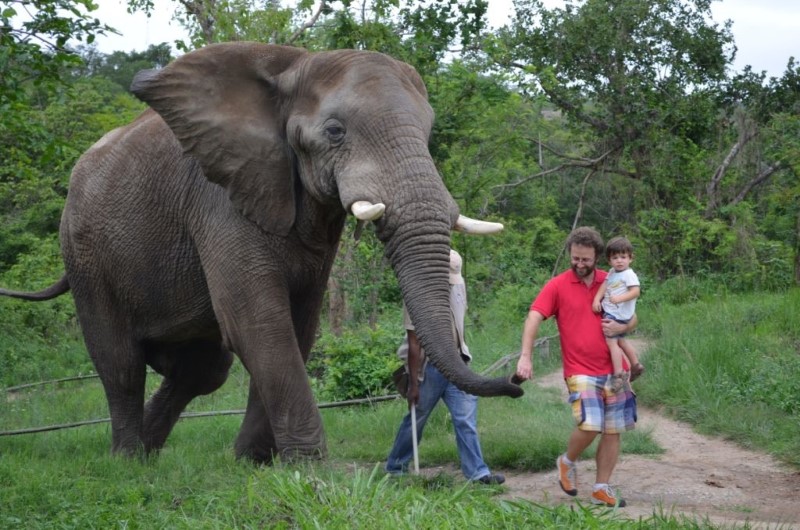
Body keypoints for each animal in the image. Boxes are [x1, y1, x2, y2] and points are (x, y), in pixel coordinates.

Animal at [0, 43, 520, 460]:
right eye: (335, 132)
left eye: (429, 134)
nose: (516, 382)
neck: (293, 67)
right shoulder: (219, 199)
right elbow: (259, 322)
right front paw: (306, 464)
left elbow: (298, 326)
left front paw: (252, 461)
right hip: (86, 255)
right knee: (121, 364)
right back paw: (128, 462)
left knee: (201, 371)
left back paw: (150, 454)